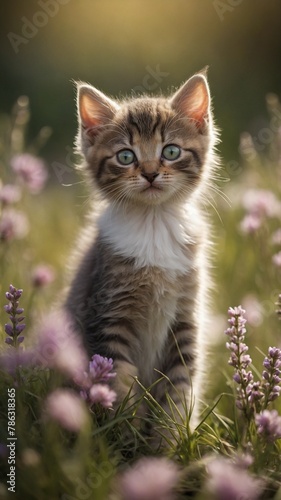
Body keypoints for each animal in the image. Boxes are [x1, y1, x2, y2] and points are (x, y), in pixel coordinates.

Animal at [64, 71, 218, 438]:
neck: (153, 224)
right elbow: (120, 387)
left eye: (171, 151)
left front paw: (168, 444)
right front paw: (127, 441)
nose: (149, 172)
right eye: (125, 156)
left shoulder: (185, 318)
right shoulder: (107, 315)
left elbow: (178, 390)